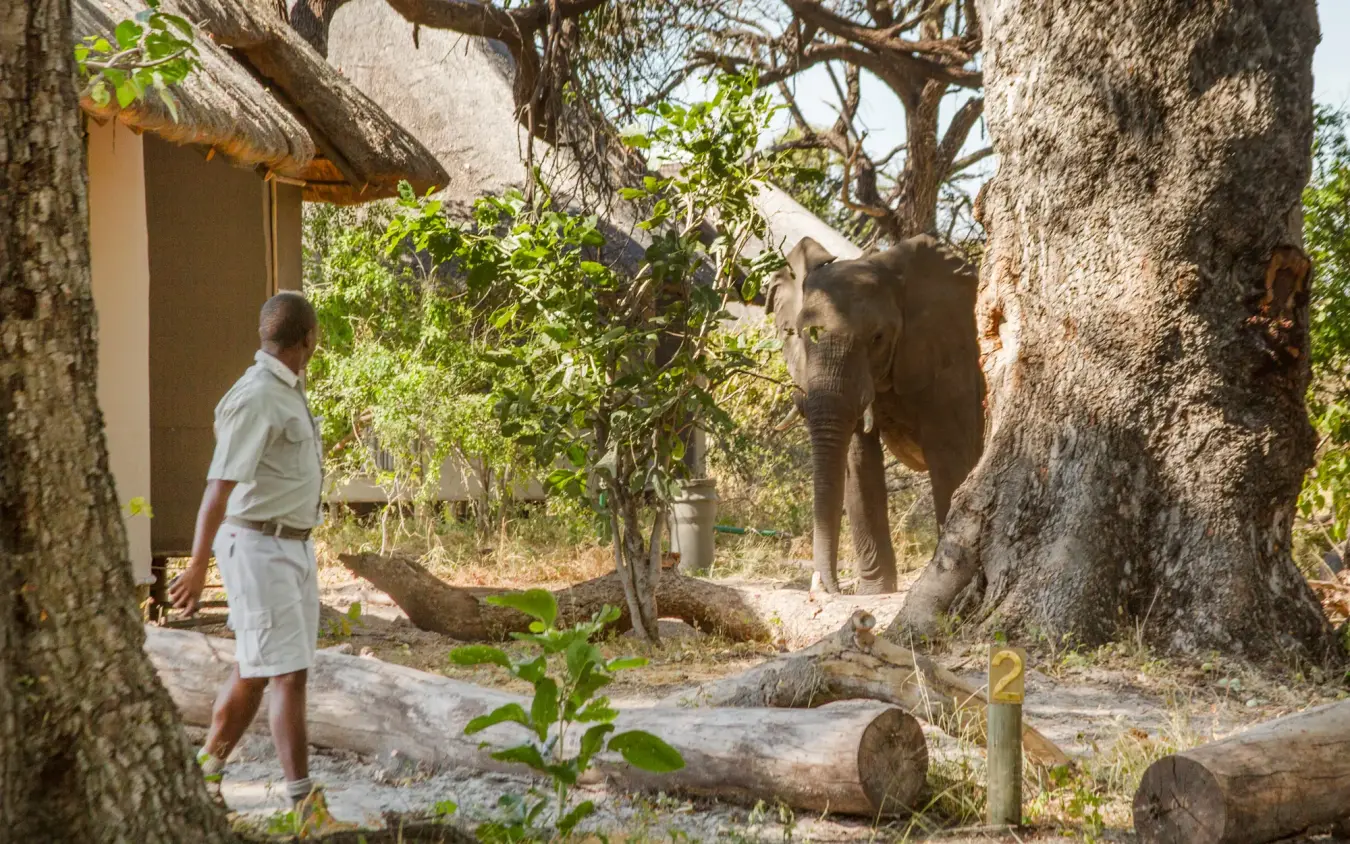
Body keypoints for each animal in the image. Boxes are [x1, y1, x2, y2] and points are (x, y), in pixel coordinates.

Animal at [765, 234, 985, 594]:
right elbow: (858, 462)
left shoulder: (952, 357)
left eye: (877, 338)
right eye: (798, 334)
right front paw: (875, 592)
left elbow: (949, 457)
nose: (830, 588)